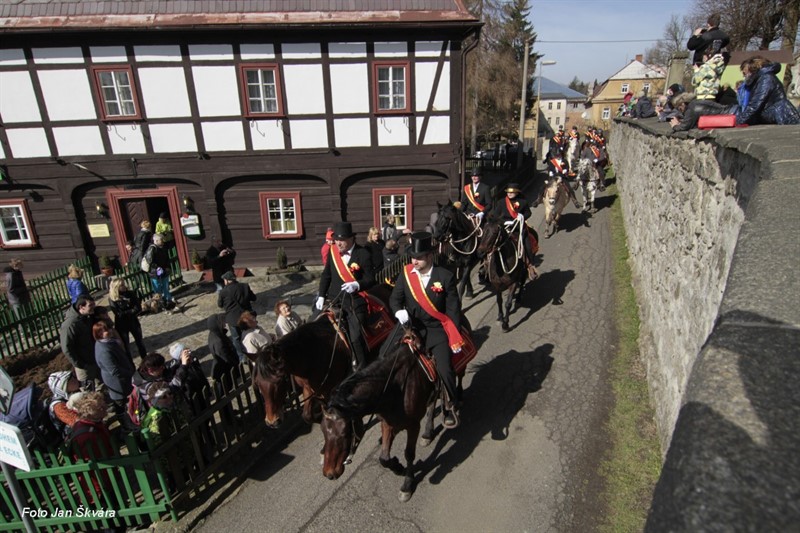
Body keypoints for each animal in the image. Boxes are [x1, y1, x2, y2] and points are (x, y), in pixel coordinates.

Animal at [250, 282, 394, 428]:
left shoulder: (330, 389)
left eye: (279, 381)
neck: (311, 354)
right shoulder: (310, 389)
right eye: (257, 383)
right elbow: (308, 415)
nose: (272, 422)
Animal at [320, 326, 438, 500]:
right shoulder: (388, 423)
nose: (329, 473)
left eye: (344, 433)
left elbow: (409, 454)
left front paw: (407, 484)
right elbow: (383, 458)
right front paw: (397, 466)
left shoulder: (413, 425)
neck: (395, 387)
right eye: (323, 431)